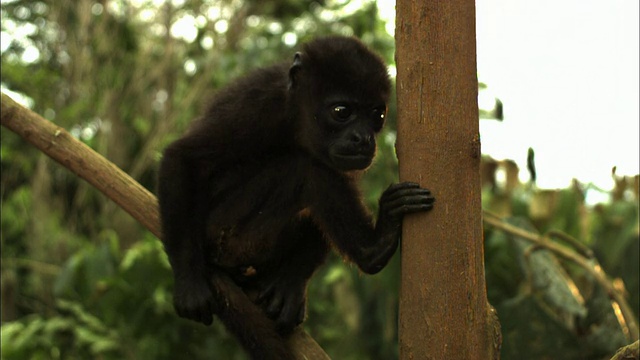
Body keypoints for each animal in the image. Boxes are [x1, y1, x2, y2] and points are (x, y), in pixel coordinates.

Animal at [157, 37, 432, 360]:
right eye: (341, 111)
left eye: (377, 115)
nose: (364, 138)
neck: (297, 117)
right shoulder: (256, 104)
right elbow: (183, 157)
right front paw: (189, 283)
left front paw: (291, 284)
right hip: (227, 233)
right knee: (307, 167)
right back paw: (374, 249)